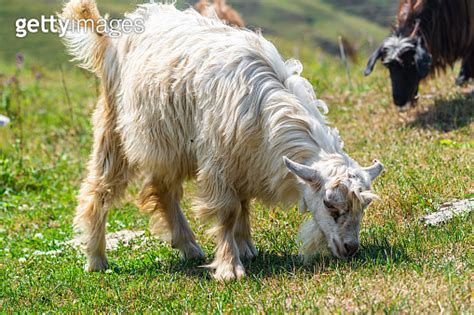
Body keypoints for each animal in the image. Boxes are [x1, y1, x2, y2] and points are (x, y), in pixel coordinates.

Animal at [61, 0, 384, 282]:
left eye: (363, 206)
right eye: (330, 205)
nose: (350, 249)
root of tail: (114, 38)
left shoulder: (247, 158)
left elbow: (244, 203)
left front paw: (246, 247)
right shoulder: (219, 159)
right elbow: (228, 211)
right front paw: (230, 267)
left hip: (169, 145)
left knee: (163, 189)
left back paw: (189, 248)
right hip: (115, 129)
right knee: (99, 188)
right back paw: (96, 259)